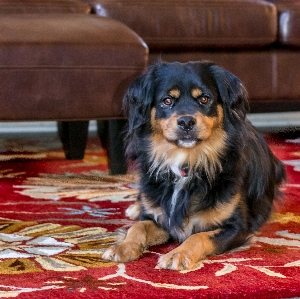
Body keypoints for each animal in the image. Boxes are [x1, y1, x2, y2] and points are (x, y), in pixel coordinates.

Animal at [102, 61, 286, 272]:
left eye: (204, 99)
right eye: (167, 100)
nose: (186, 121)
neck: (188, 161)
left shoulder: (237, 228)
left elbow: (199, 236)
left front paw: (178, 254)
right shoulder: (163, 219)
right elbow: (138, 226)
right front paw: (123, 246)